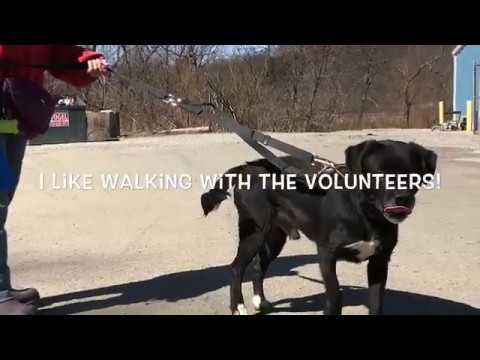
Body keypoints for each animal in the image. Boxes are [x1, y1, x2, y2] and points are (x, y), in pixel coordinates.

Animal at [201, 139, 436, 314]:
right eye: (379, 173)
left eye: (413, 173)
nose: (402, 199)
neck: (365, 213)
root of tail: (248, 167)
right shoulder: (326, 255)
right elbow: (335, 296)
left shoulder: (379, 261)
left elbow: (377, 302)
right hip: (255, 232)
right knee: (236, 268)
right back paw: (238, 307)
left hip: (275, 236)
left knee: (258, 267)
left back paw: (261, 301)